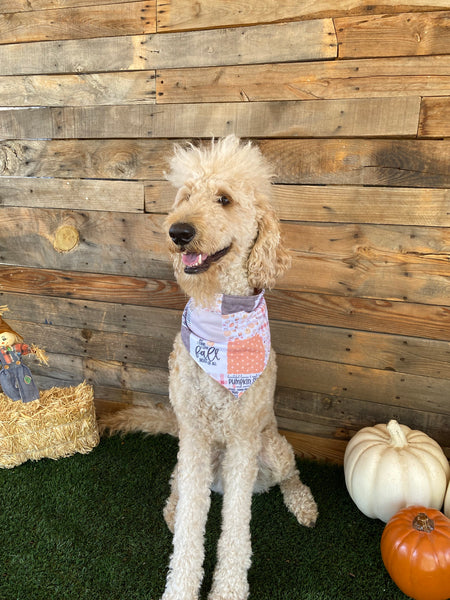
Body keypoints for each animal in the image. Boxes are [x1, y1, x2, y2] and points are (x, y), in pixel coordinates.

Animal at [99, 136, 316, 600]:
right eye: (184, 197)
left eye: (224, 199)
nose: (177, 232)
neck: (219, 312)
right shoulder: (195, 437)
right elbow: (190, 528)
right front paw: (181, 586)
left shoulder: (242, 441)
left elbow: (235, 527)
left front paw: (228, 588)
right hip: (191, 454)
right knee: (177, 484)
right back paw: (172, 508)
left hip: (270, 448)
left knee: (290, 474)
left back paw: (303, 504)